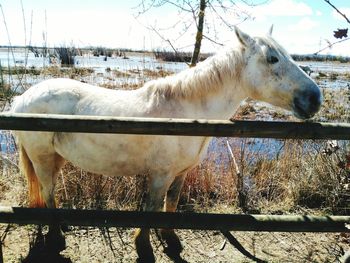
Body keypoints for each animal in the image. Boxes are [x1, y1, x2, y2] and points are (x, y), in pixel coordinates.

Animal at [10, 27, 322, 263]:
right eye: (272, 58)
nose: (314, 99)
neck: (184, 115)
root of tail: (23, 98)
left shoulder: (180, 173)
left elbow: (171, 202)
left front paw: (170, 237)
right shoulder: (160, 175)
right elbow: (151, 207)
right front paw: (144, 246)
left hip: (56, 158)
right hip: (42, 158)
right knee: (48, 192)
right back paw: (57, 235)